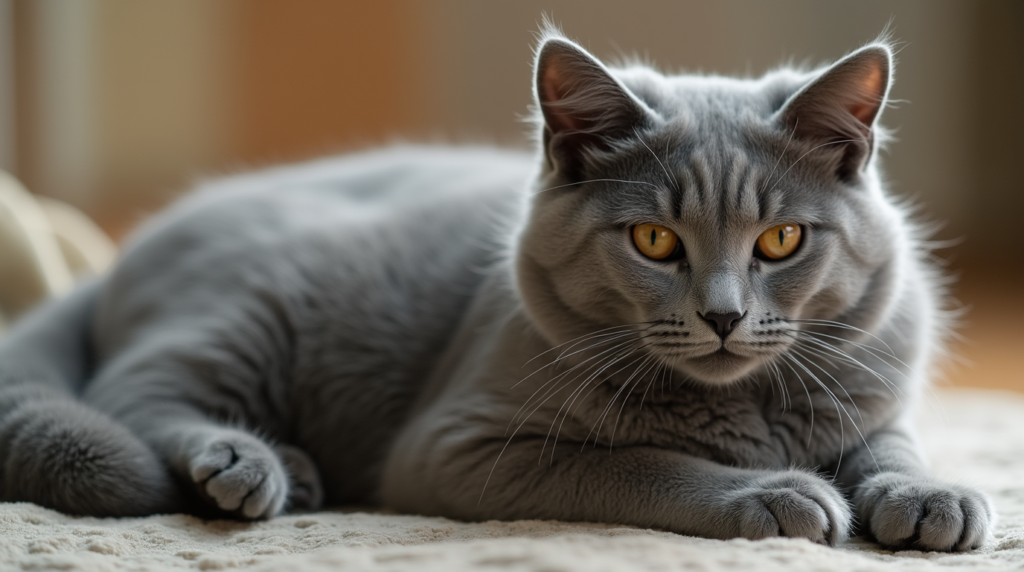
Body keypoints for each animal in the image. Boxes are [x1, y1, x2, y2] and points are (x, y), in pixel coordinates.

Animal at [0, 29, 995, 552]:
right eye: (654, 240)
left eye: (782, 239)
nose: (722, 315)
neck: (740, 403)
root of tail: (128, 250)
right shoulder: (461, 445)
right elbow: (639, 463)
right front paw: (780, 497)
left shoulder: (872, 390)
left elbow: (889, 443)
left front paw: (931, 499)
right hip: (255, 304)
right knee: (133, 392)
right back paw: (243, 465)